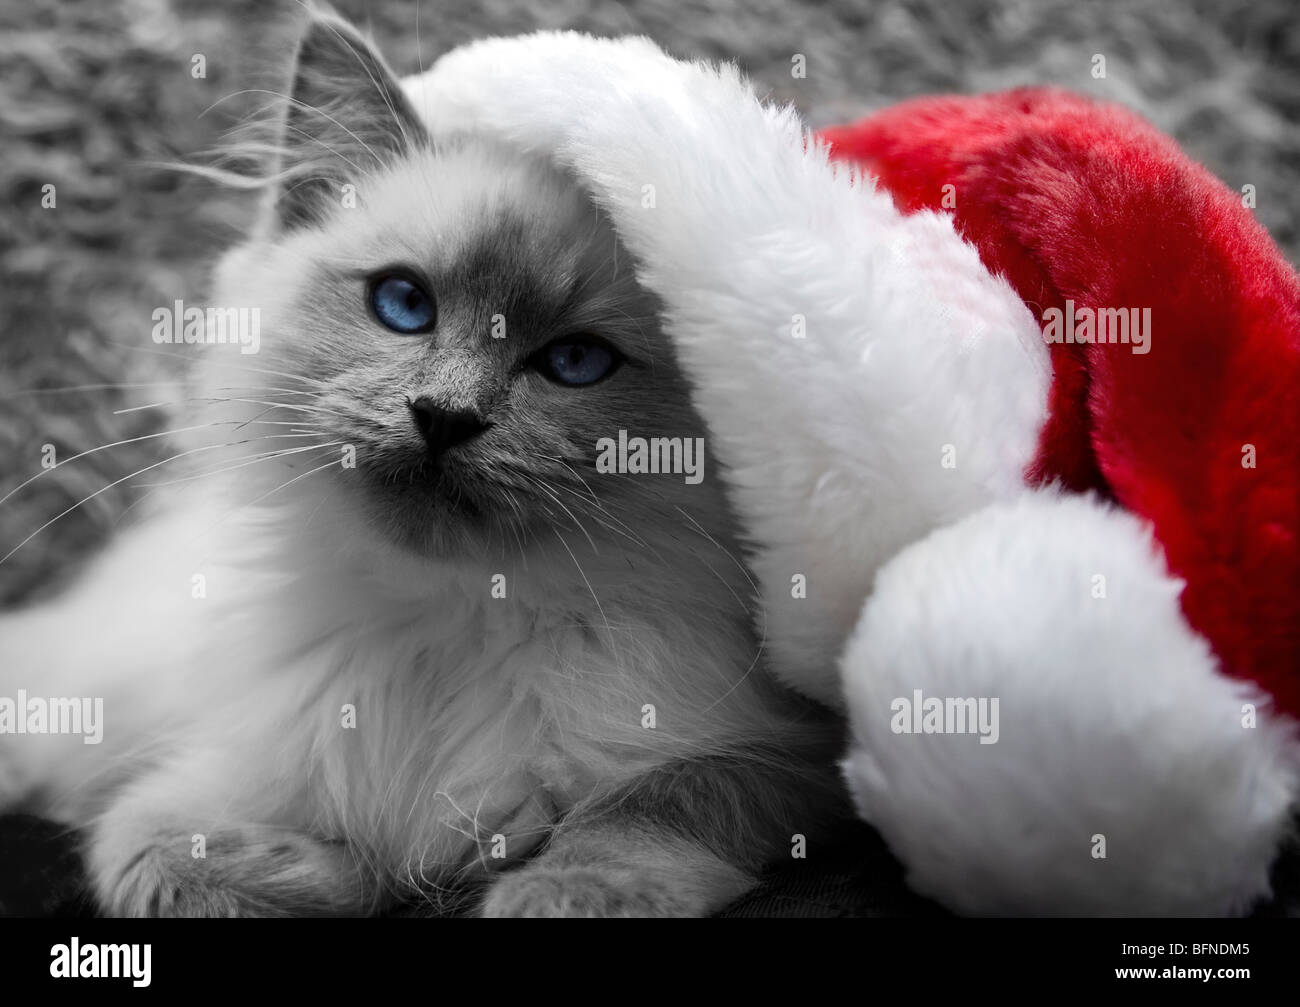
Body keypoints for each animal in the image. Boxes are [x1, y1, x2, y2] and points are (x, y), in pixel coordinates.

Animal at [0, 11, 842, 919]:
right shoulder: (191, 788)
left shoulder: (797, 757)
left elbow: (658, 801)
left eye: (576, 361)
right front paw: (368, 869)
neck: (451, 624)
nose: (444, 416)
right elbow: (167, 850)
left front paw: (552, 889)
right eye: (404, 305)